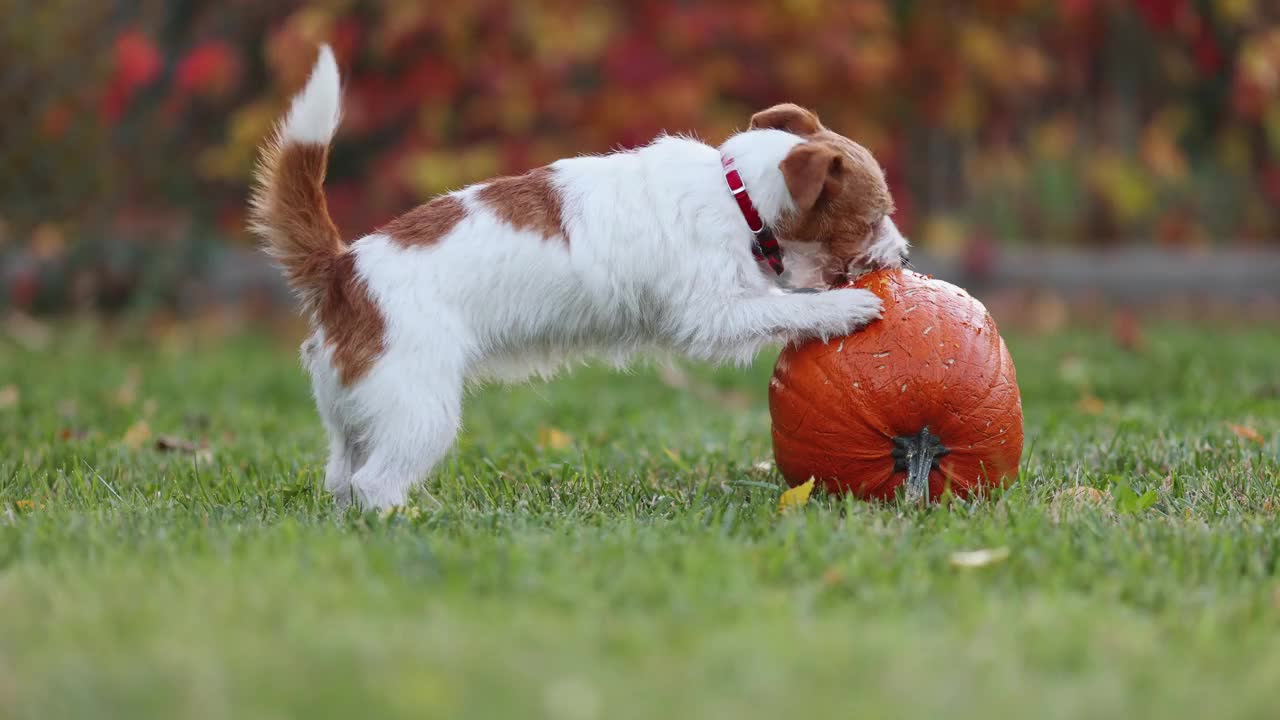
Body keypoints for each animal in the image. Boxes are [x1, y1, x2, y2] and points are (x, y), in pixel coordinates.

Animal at [249, 44, 911, 507]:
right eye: (873, 217)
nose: (903, 257)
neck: (737, 192)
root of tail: (342, 270)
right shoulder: (711, 311)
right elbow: (783, 303)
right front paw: (847, 308)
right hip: (420, 409)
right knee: (375, 485)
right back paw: (412, 520)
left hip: (356, 411)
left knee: (344, 478)